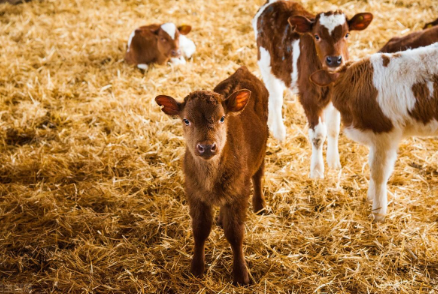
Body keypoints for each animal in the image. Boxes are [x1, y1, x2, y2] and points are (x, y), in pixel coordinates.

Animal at [154, 66, 270, 284]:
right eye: (186, 120)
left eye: (222, 118)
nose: (207, 147)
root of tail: (243, 71)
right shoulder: (194, 194)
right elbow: (200, 230)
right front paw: (197, 268)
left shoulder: (238, 194)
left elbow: (236, 234)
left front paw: (241, 274)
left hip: (264, 144)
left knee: (258, 174)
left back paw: (260, 205)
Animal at [253, 0, 372, 178]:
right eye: (317, 36)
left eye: (346, 35)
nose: (334, 60)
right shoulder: (310, 100)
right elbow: (318, 135)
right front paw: (316, 171)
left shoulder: (336, 99)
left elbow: (333, 130)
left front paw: (334, 163)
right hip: (266, 64)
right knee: (275, 98)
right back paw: (279, 132)